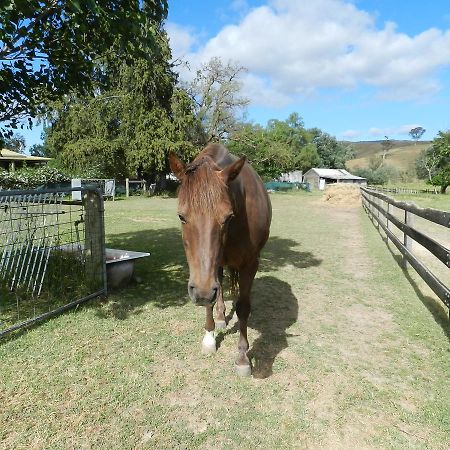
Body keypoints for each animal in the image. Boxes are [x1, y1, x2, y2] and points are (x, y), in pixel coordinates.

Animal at [171, 144, 272, 376]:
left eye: (228, 217)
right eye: (181, 216)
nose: (201, 292)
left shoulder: (250, 264)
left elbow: (243, 307)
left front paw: (243, 358)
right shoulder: (208, 275)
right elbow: (211, 299)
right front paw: (209, 337)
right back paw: (219, 317)